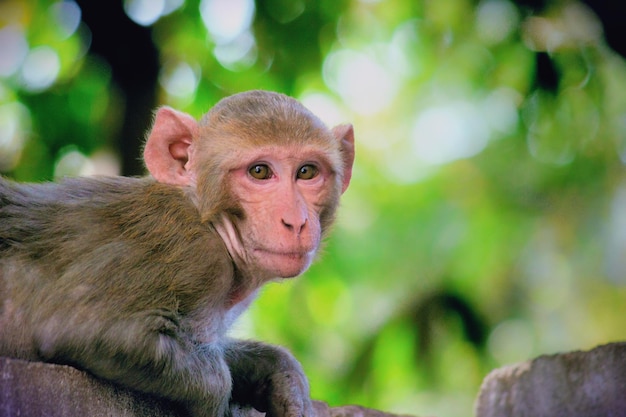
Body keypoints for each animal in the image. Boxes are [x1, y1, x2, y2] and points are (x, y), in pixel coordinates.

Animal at [0, 91, 352, 416]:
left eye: (306, 172)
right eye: (260, 172)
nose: (296, 221)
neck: (210, 222)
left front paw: (278, 372)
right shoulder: (193, 255)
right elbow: (72, 327)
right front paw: (218, 400)